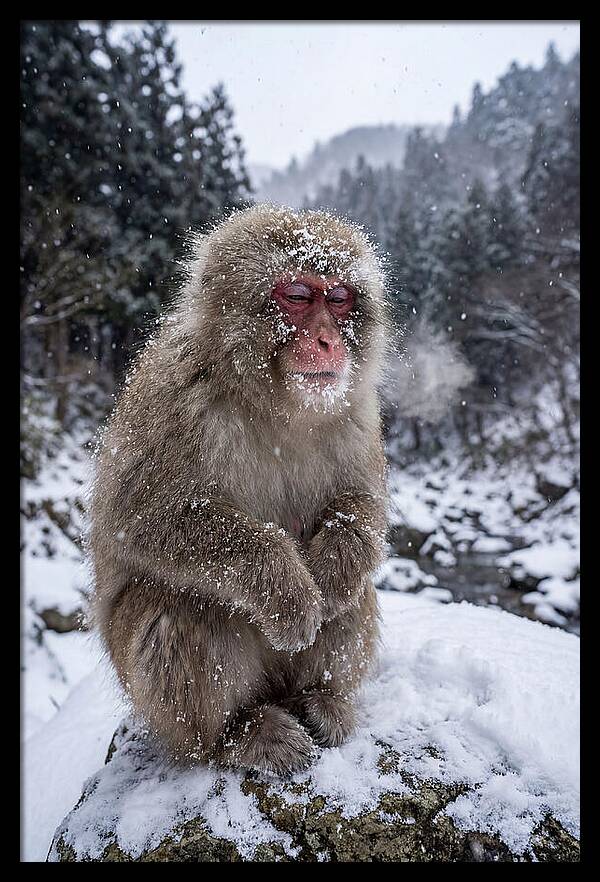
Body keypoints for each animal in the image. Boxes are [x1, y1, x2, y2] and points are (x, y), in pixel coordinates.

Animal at [89, 204, 390, 774]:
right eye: (298, 295)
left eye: (339, 298)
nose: (328, 340)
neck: (275, 403)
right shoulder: (173, 396)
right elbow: (138, 517)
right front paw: (288, 588)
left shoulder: (357, 411)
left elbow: (362, 503)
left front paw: (333, 569)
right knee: (176, 606)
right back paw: (236, 735)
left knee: (355, 597)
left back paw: (320, 700)